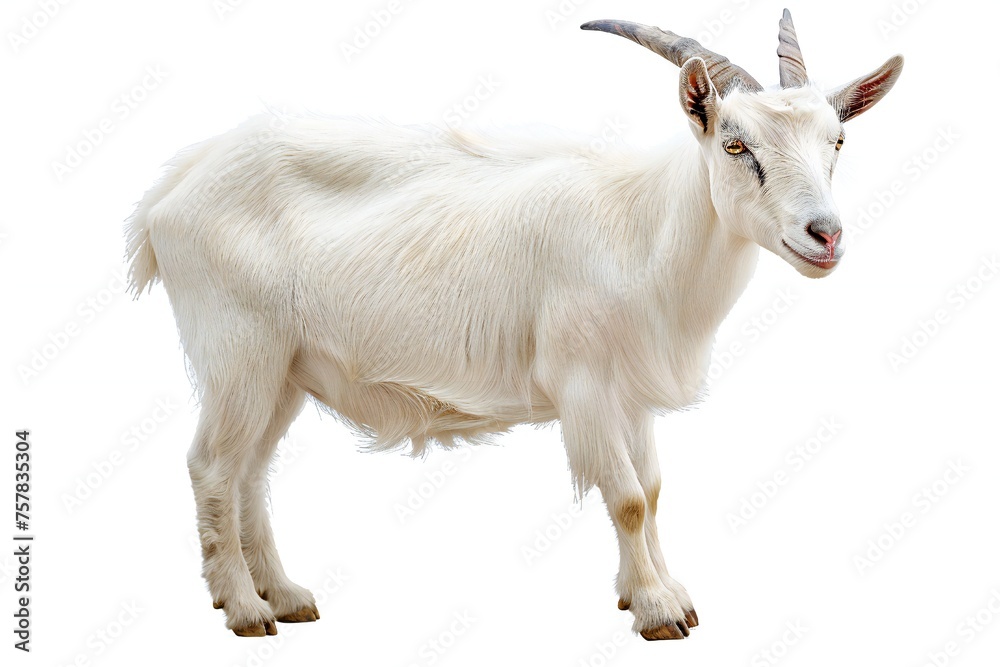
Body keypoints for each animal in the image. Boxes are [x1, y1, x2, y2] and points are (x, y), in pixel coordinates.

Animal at [126, 11, 902, 639]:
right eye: (736, 145)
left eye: (837, 140)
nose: (825, 234)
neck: (643, 228)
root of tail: (171, 189)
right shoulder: (582, 379)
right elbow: (624, 498)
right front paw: (657, 611)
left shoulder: (630, 393)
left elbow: (651, 490)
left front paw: (662, 591)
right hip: (238, 347)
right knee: (212, 465)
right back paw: (244, 610)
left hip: (283, 366)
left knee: (250, 471)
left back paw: (285, 597)